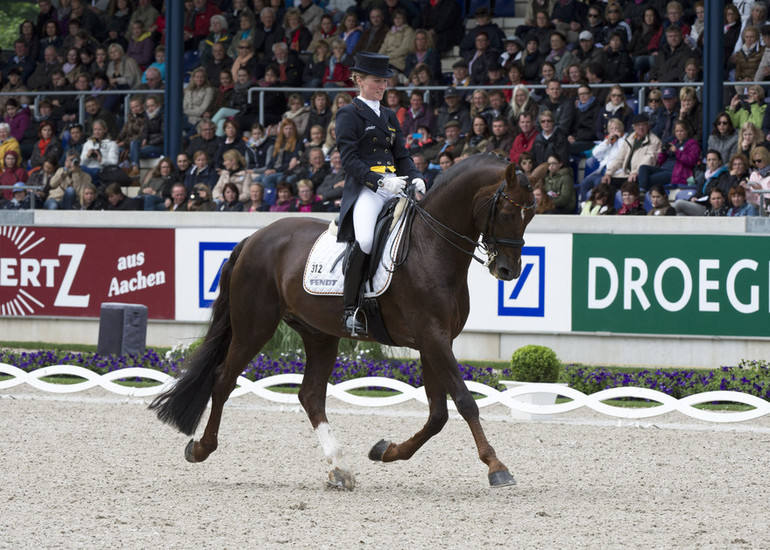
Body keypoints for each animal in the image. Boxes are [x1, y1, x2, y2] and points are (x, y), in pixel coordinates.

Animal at [150, 154, 544, 492]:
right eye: (507, 211)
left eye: (532, 214)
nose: (508, 271)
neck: (431, 248)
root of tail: (253, 238)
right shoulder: (432, 337)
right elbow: (464, 402)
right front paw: (496, 467)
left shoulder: (435, 340)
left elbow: (437, 415)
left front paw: (385, 450)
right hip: (254, 327)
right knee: (223, 380)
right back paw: (201, 448)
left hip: (319, 334)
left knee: (310, 395)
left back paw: (339, 468)